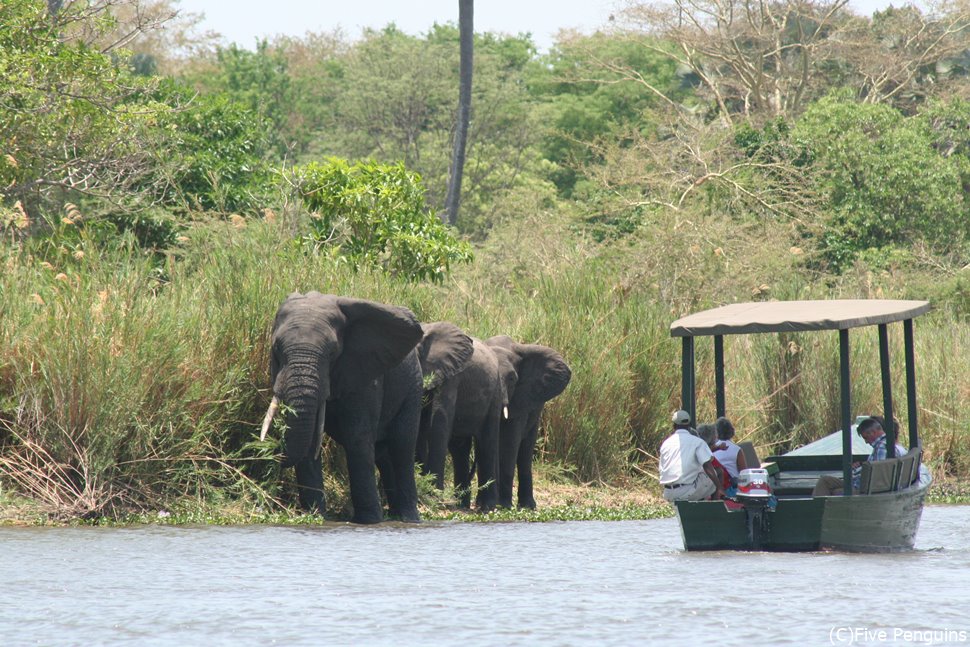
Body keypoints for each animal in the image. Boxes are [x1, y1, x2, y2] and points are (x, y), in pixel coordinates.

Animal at [258, 294, 428, 528]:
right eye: (276, 349)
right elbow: (310, 439)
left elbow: (357, 438)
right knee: (384, 454)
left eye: (332, 353)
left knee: (402, 448)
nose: (269, 451)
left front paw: (368, 521)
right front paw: (315, 517)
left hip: (413, 388)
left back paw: (408, 519)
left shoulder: (364, 376)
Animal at [414, 324, 516, 512]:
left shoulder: (451, 376)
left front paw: (434, 495)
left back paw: (487, 507)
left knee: (487, 442)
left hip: (495, 393)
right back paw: (461, 504)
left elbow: (439, 419)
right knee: (460, 448)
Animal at [482, 336, 568, 508]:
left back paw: (527, 506)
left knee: (526, 450)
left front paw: (504, 505)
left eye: (512, 379)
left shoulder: (521, 398)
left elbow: (510, 441)